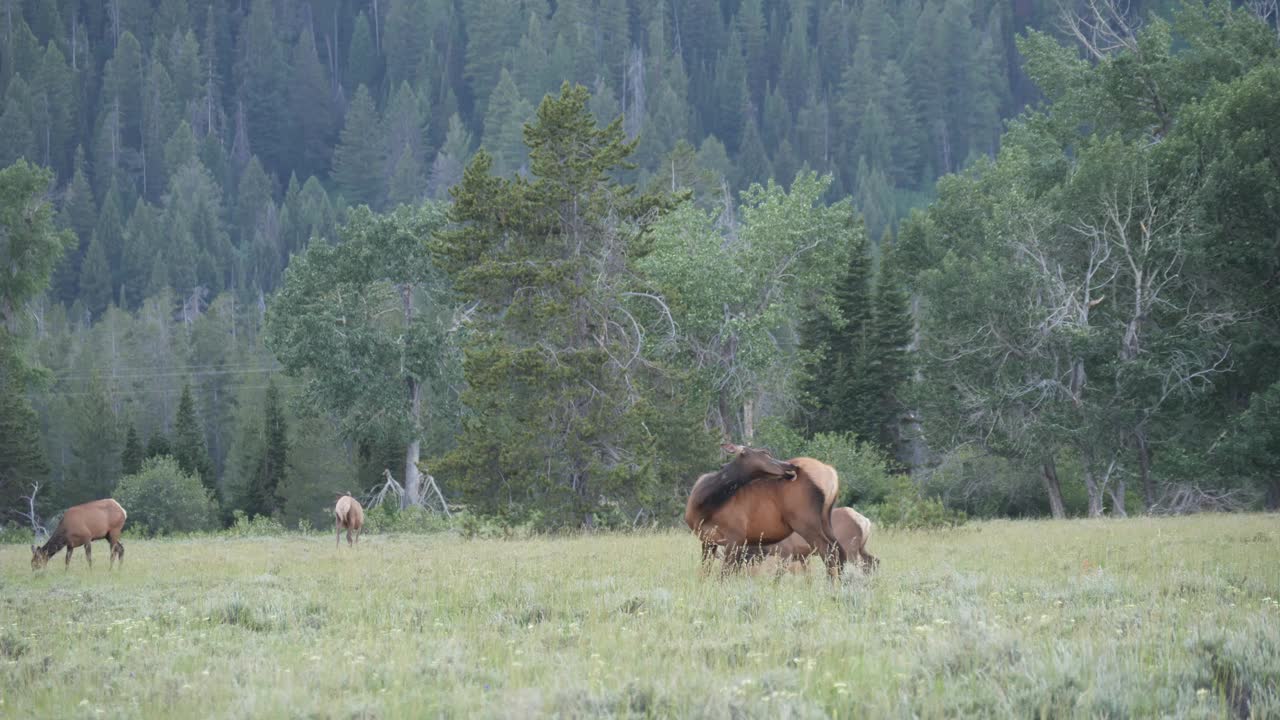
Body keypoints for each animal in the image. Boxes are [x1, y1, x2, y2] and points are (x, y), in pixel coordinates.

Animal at [686, 443, 844, 576]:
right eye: (765, 453)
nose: (792, 466)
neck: (703, 505)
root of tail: (832, 474)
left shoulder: (735, 537)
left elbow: (725, 574)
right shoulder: (708, 539)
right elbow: (705, 572)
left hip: (805, 522)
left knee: (828, 552)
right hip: (825, 519)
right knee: (839, 551)